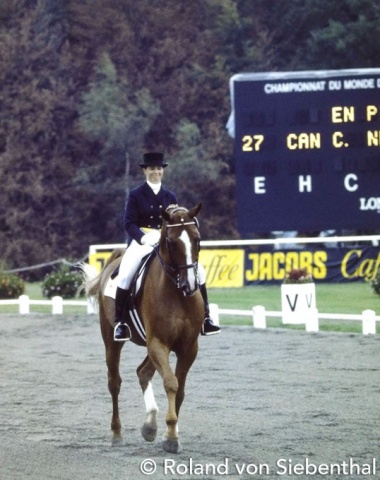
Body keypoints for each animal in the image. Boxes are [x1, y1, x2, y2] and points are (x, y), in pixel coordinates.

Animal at [81, 203, 203, 454]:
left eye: (197, 239)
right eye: (171, 242)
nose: (190, 285)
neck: (177, 293)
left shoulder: (188, 347)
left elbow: (180, 389)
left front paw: (170, 432)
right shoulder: (158, 342)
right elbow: (171, 383)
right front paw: (171, 437)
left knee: (143, 372)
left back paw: (150, 426)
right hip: (112, 340)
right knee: (114, 382)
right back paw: (117, 433)